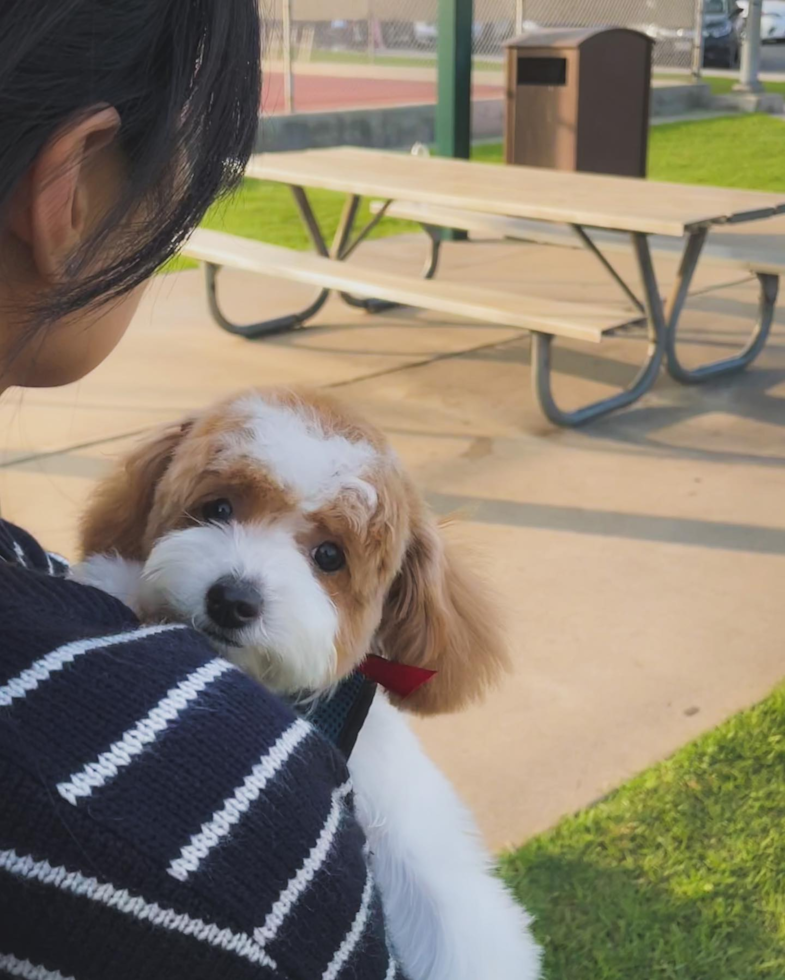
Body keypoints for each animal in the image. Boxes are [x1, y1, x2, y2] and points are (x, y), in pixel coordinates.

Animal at [76, 386, 544, 980]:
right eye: (218, 508)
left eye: (329, 556)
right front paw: (115, 577)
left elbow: (455, 916)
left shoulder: (408, 826)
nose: (232, 600)